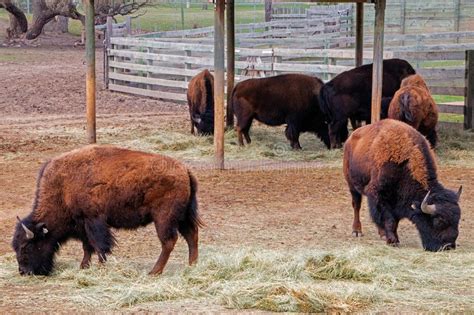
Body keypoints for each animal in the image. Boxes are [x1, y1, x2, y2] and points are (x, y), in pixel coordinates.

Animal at [12, 146, 202, 276]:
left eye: (26, 246)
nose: (23, 271)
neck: (62, 188)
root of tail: (185, 170)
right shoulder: (82, 225)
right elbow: (87, 246)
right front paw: (84, 266)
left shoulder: (93, 220)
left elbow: (99, 244)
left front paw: (100, 266)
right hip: (182, 217)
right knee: (191, 235)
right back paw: (191, 266)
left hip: (164, 218)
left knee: (169, 241)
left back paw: (154, 271)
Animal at [342, 119, 462, 253]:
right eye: (439, 221)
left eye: (457, 219)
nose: (448, 246)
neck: (406, 161)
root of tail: (350, 139)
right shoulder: (378, 194)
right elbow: (388, 219)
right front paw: (393, 241)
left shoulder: (398, 201)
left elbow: (394, 221)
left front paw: (393, 237)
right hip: (352, 185)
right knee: (356, 206)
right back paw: (357, 231)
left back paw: (381, 233)